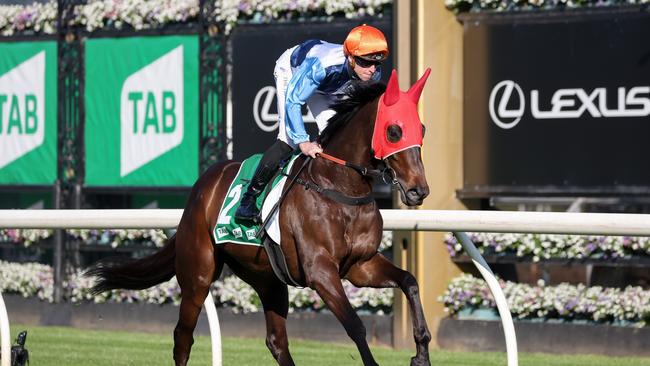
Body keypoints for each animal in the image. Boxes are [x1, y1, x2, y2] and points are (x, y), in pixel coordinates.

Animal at [86, 69, 430, 366]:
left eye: (422, 130)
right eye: (394, 131)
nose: (419, 190)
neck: (340, 187)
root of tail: (202, 185)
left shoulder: (361, 265)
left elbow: (410, 282)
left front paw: (421, 353)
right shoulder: (321, 271)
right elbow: (355, 325)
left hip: (267, 278)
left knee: (276, 341)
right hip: (197, 274)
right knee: (182, 336)